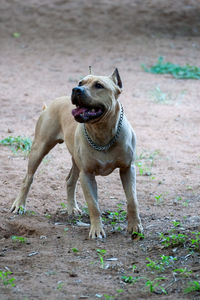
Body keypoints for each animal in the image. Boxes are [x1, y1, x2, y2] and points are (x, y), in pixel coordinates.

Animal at [10, 68, 142, 239]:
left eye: (99, 85)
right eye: (80, 82)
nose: (76, 89)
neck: (102, 132)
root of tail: (50, 105)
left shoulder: (127, 169)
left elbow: (132, 200)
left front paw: (135, 227)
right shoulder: (87, 174)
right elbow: (94, 205)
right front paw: (97, 230)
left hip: (75, 160)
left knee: (70, 180)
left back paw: (72, 208)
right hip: (39, 148)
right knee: (28, 178)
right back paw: (19, 205)